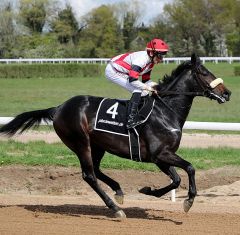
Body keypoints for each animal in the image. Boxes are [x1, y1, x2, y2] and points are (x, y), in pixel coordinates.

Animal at [0, 53, 232, 218]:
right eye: (204, 72)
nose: (227, 92)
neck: (165, 111)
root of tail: (58, 108)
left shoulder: (161, 157)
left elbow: (176, 179)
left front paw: (148, 190)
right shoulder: (159, 154)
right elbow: (190, 168)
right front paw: (188, 201)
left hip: (98, 146)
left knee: (96, 170)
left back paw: (118, 191)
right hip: (81, 142)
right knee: (89, 175)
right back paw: (115, 208)